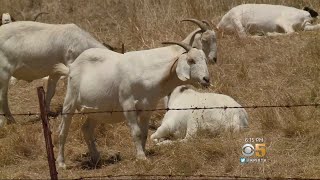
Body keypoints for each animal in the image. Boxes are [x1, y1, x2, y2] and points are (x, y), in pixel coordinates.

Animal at [53, 40, 210, 169]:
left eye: (205, 59)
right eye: (191, 60)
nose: (206, 79)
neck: (148, 71)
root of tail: (71, 67)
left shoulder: (147, 108)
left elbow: (145, 133)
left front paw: (143, 152)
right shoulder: (128, 105)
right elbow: (136, 132)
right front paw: (141, 158)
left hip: (96, 112)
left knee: (86, 129)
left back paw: (96, 158)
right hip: (70, 101)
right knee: (62, 131)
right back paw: (61, 163)